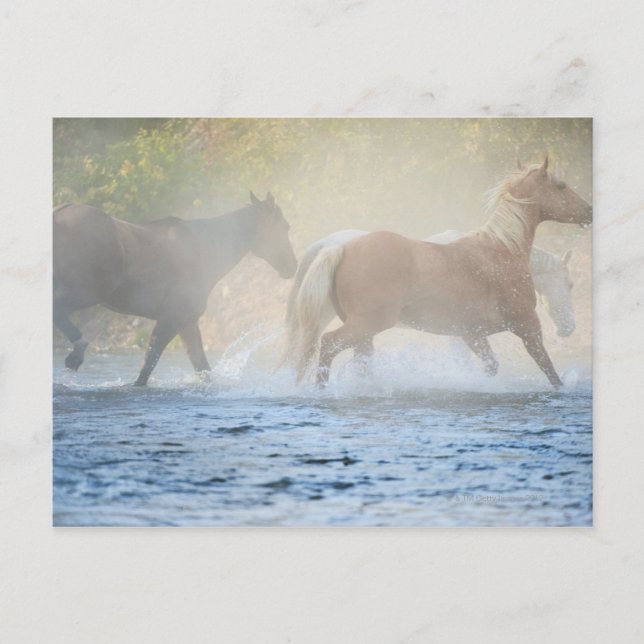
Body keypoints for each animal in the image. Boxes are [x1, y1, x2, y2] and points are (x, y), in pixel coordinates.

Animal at [54, 192, 297, 386]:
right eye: (284, 227)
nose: (292, 266)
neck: (207, 250)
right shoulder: (172, 317)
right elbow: (147, 367)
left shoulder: (188, 321)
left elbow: (202, 367)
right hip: (88, 292)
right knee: (58, 311)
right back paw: (76, 354)